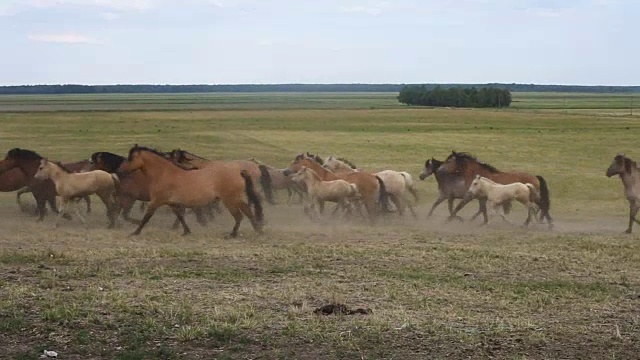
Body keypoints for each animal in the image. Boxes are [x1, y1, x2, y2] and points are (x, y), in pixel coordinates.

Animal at [117, 145, 262, 238]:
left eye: (131, 157)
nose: (119, 171)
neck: (164, 174)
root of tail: (240, 172)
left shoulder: (156, 201)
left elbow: (146, 217)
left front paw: (135, 232)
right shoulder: (172, 203)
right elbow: (180, 217)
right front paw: (186, 232)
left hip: (230, 200)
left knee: (239, 216)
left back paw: (233, 234)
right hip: (236, 199)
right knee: (248, 212)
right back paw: (257, 230)